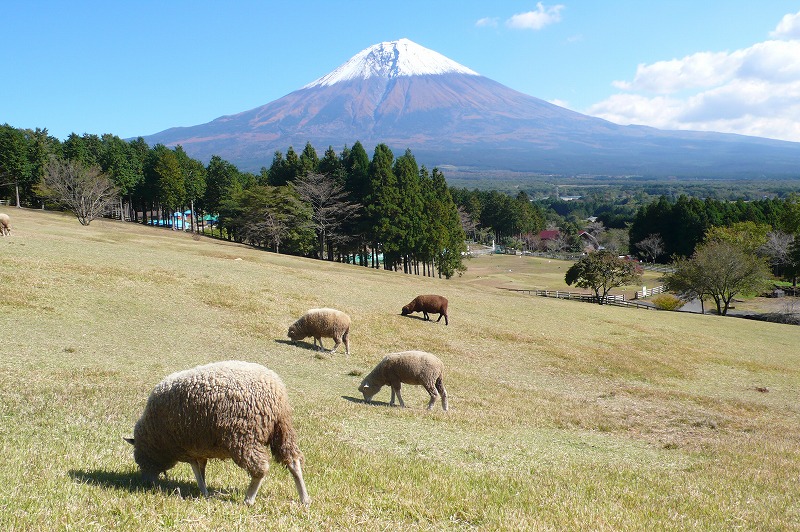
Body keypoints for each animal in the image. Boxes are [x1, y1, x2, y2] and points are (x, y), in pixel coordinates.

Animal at [125, 360, 310, 504]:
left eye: (139, 461)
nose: (147, 484)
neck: (155, 437)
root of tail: (276, 391)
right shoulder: (198, 449)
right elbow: (202, 470)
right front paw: (203, 491)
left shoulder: (187, 449)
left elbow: (197, 471)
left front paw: (203, 492)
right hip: (283, 430)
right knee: (293, 461)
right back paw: (305, 498)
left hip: (243, 436)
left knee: (260, 468)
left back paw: (249, 499)